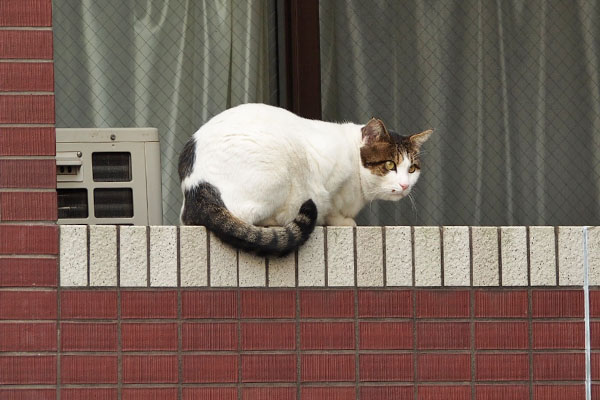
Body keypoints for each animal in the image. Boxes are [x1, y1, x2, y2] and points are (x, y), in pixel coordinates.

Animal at [178, 103, 432, 256]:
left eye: (412, 169)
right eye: (390, 165)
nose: (404, 185)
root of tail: (196, 186)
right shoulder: (325, 177)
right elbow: (330, 205)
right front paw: (341, 221)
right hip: (278, 172)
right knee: (246, 217)